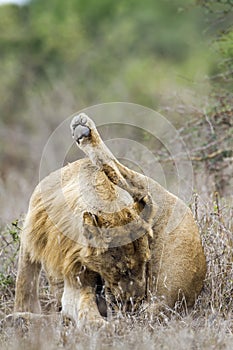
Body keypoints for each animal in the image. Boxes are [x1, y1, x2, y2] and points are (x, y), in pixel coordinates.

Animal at [14, 113, 206, 326]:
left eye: (145, 263)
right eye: (121, 270)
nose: (133, 303)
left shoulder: (78, 268)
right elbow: (25, 282)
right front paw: (23, 311)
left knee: (126, 176)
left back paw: (83, 130)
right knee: (130, 182)